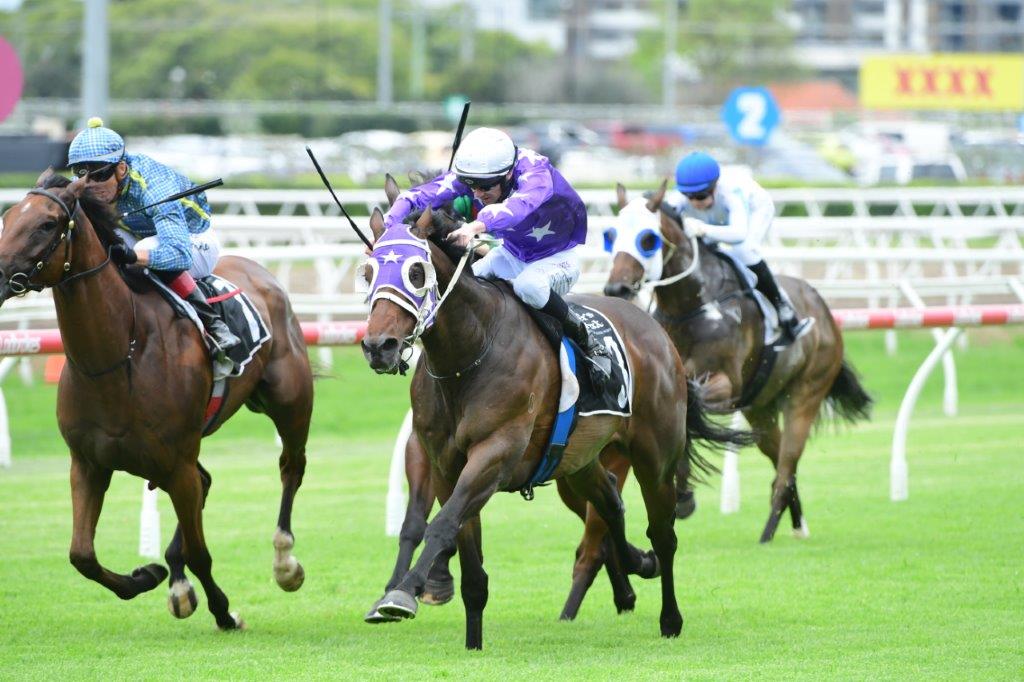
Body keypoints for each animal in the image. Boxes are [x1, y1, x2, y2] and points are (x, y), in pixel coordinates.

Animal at [0, 174, 311, 626]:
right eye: (7, 217)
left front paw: (225, 612)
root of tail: (259, 271)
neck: (116, 358)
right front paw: (146, 575)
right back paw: (177, 581)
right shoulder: (88, 463)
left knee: (291, 467)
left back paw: (284, 561)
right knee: (206, 480)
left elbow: (201, 553)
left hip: (290, 403)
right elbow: (81, 555)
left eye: (46, 224)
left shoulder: (176, 461)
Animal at [358, 205, 737, 647]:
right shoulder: (445, 466)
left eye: (416, 272)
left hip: (654, 457)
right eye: (367, 272)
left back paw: (670, 618)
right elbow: (467, 561)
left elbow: (443, 524)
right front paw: (472, 641)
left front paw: (402, 593)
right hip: (578, 463)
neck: (468, 356)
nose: (379, 346)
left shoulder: (495, 454)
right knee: (610, 502)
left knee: (663, 534)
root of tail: (656, 331)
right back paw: (637, 564)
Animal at [602, 184, 868, 540]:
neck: (693, 306)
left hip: (806, 393)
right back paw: (797, 523)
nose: (616, 287)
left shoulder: (726, 383)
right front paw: (683, 496)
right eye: (611, 234)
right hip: (761, 408)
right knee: (779, 458)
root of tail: (822, 307)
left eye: (648, 239)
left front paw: (683, 495)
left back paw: (770, 530)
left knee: (788, 461)